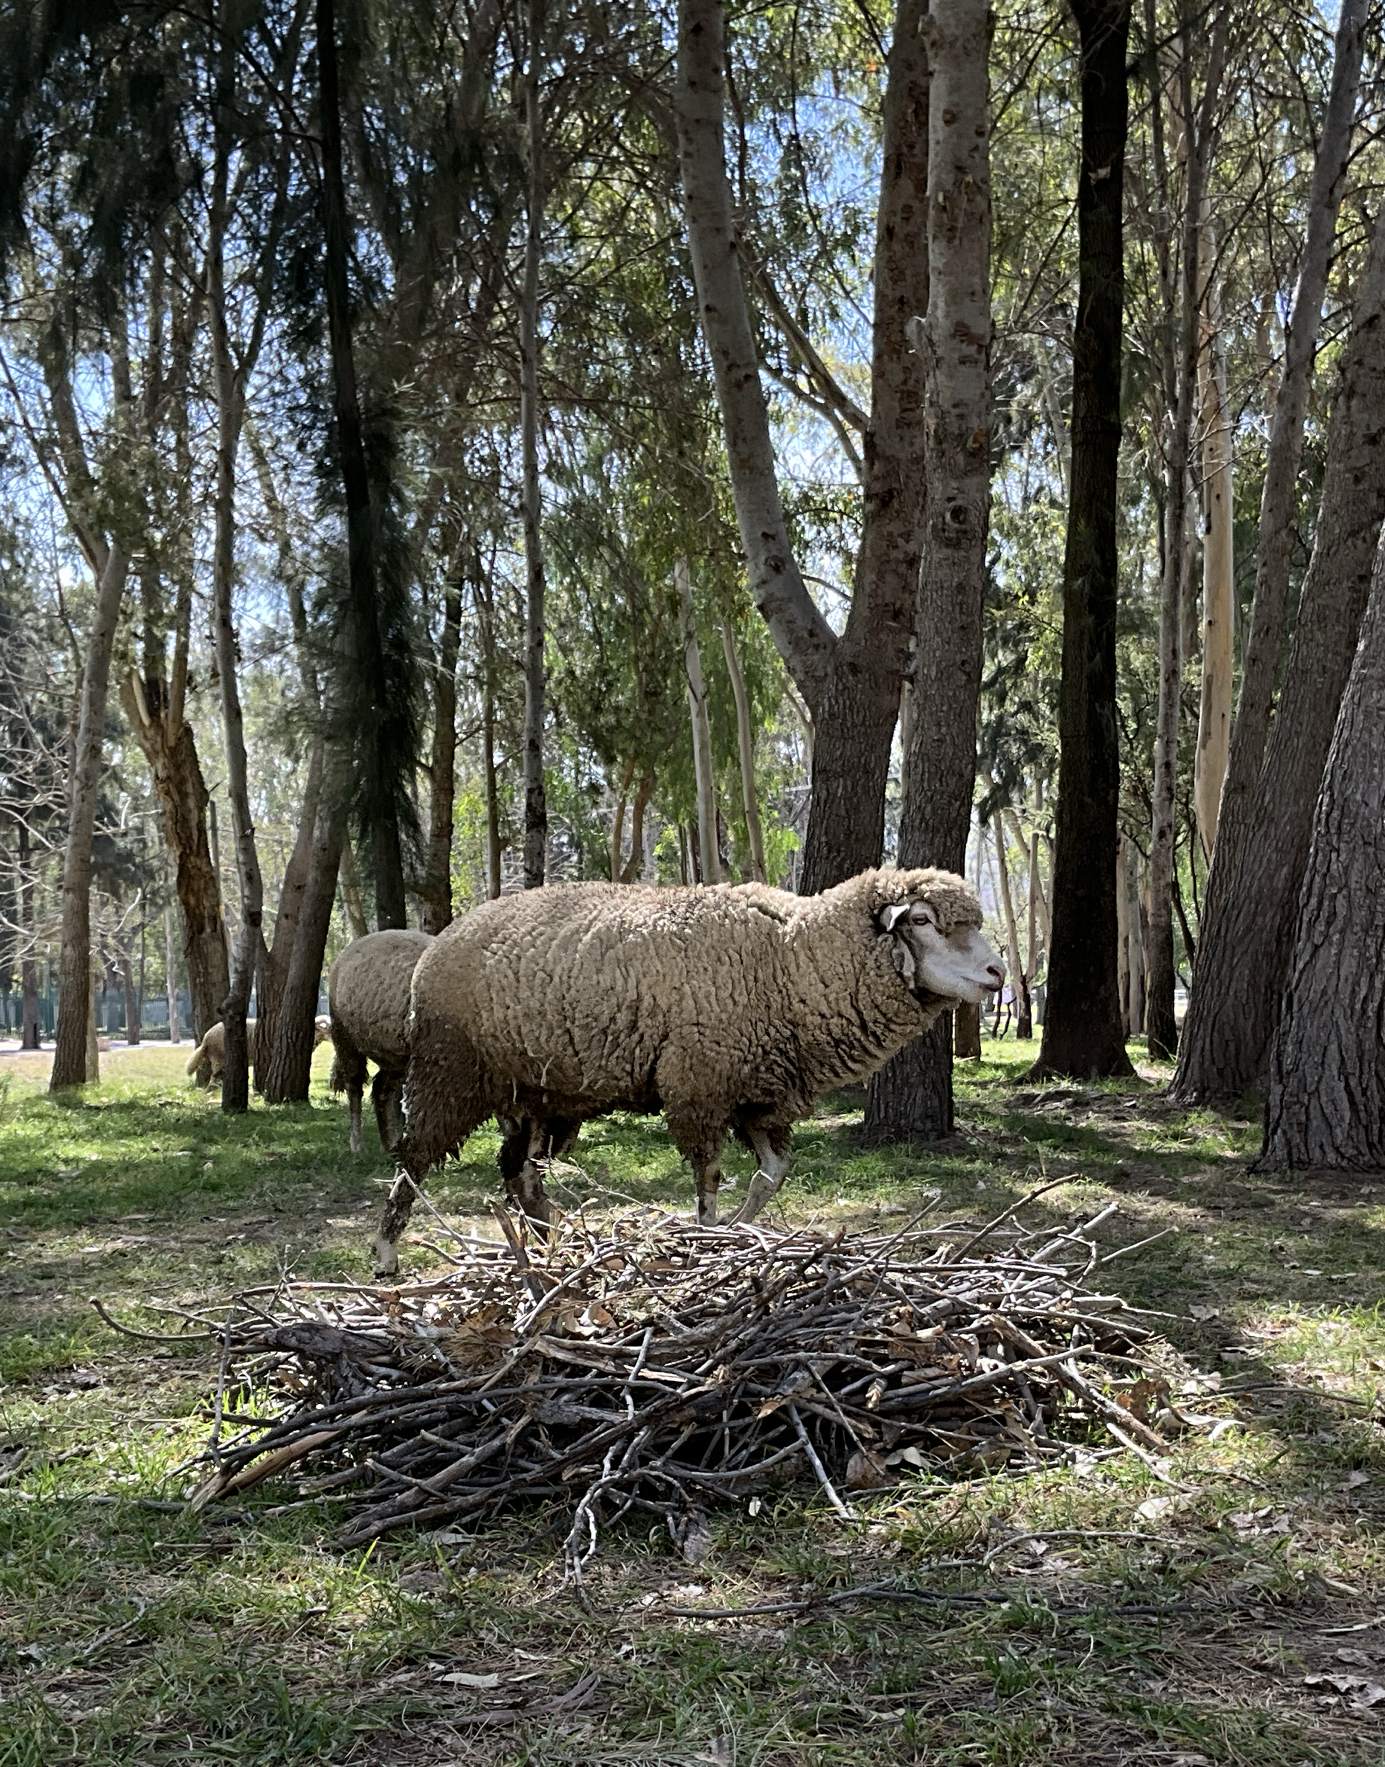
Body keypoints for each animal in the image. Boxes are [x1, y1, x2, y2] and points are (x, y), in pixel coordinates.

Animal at [328, 929, 433, 1155]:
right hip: (344, 1038)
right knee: (354, 1088)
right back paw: (357, 1146)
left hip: (392, 1057)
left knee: (381, 1089)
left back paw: (389, 1145)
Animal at [374, 868, 1003, 1273]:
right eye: (922, 919)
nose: (998, 972)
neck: (790, 959)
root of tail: (438, 946)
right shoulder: (700, 1085)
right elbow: (708, 1182)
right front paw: (705, 1236)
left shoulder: (757, 1095)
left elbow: (771, 1176)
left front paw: (737, 1230)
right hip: (447, 1072)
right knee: (412, 1162)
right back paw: (386, 1257)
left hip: (538, 1095)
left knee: (520, 1175)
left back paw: (555, 1241)